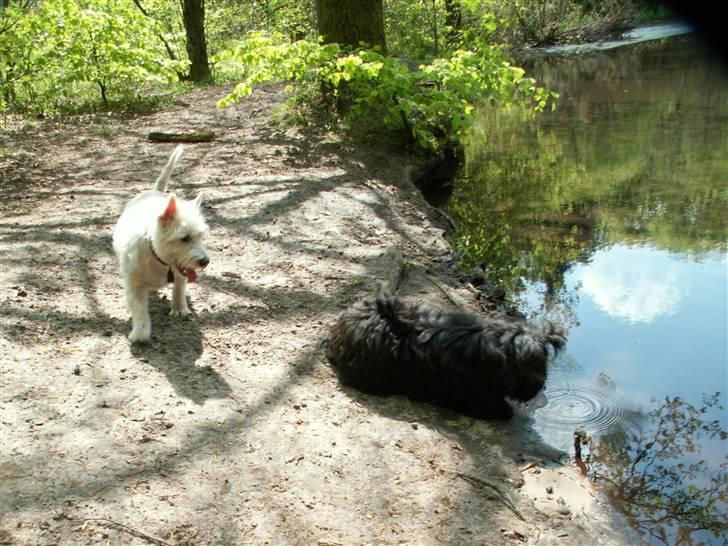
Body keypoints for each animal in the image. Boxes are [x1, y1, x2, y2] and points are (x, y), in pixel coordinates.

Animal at [111, 144, 208, 340]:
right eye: (184, 238)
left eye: (201, 236)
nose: (205, 261)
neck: (158, 257)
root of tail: (155, 191)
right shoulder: (134, 284)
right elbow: (139, 309)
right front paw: (139, 334)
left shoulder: (180, 272)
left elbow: (179, 288)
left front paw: (179, 309)